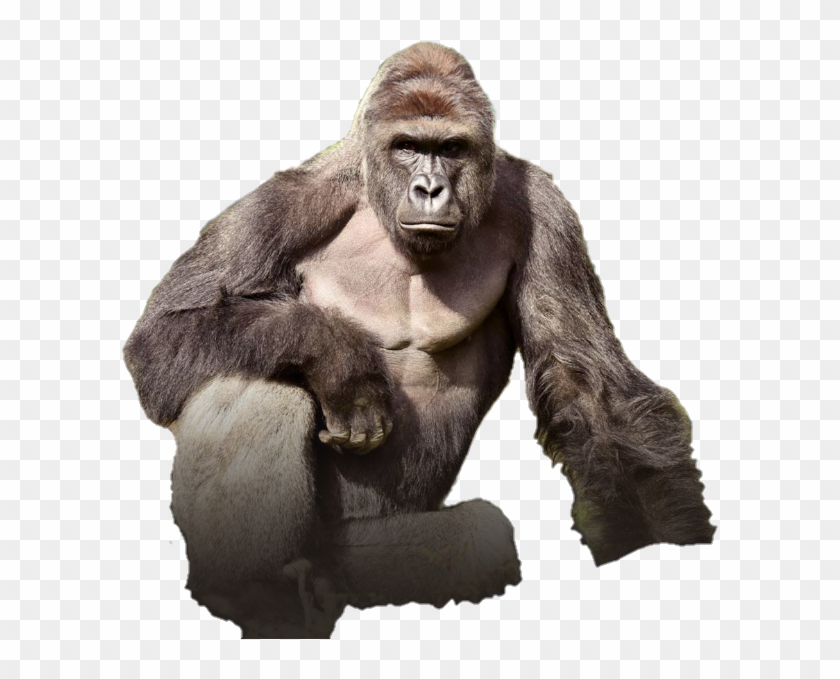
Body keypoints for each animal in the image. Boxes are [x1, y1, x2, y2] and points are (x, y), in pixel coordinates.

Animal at [123, 43, 716, 638]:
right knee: (253, 387)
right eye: (407, 147)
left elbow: (591, 391)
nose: (430, 189)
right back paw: (253, 592)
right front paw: (338, 357)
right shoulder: (286, 202)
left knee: (479, 538)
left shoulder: (547, 212)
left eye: (450, 148)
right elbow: (162, 335)